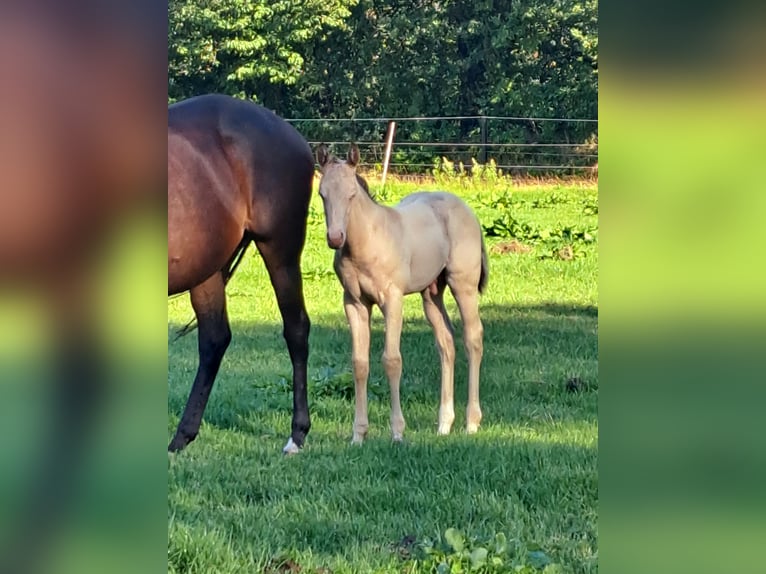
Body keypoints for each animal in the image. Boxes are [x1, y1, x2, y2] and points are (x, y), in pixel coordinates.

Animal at [168, 93, 312, 454]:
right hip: (205, 271)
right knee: (214, 340)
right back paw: (182, 436)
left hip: (281, 251)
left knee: (296, 330)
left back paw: (297, 434)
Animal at [316, 144, 488, 446]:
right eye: (322, 194)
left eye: (351, 194)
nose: (335, 238)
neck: (367, 241)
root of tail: (469, 212)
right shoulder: (354, 303)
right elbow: (359, 363)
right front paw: (358, 435)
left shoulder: (392, 299)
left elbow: (392, 360)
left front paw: (397, 432)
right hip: (431, 294)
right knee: (446, 343)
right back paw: (444, 423)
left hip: (463, 285)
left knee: (473, 339)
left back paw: (471, 422)